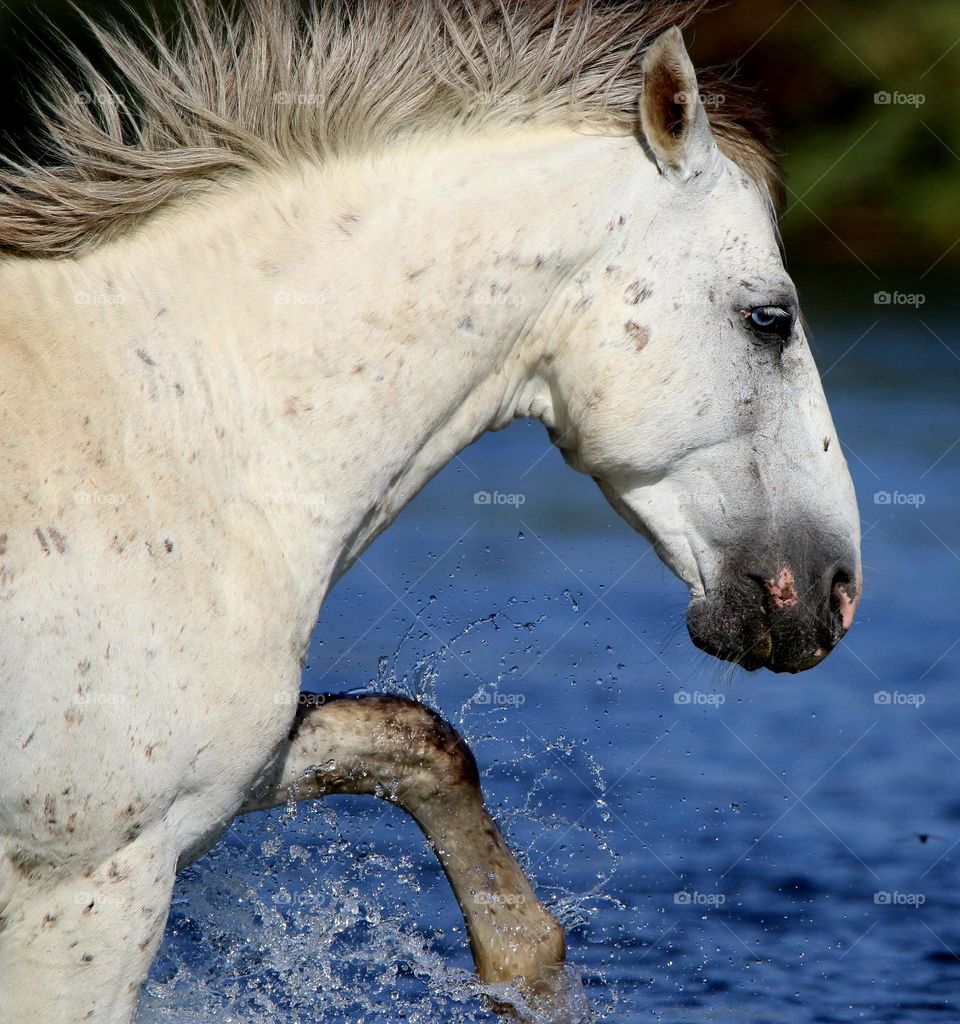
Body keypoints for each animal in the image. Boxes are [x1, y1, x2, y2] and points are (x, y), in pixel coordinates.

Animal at [0, 1, 862, 1020]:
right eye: (771, 319)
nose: (834, 589)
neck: (164, 433)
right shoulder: (92, 880)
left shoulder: (215, 785)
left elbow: (416, 738)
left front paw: (526, 968)